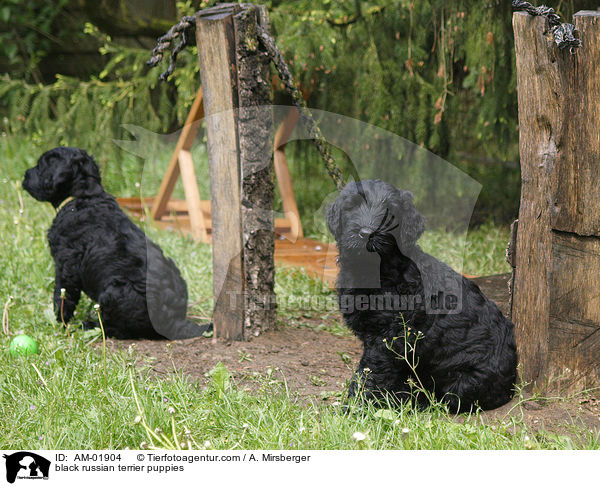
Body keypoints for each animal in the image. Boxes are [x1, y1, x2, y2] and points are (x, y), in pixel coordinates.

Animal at [22, 146, 211, 340]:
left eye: (40, 166)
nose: (25, 175)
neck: (85, 197)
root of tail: (176, 322)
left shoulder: (66, 264)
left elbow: (62, 295)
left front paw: (58, 321)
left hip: (114, 293)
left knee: (117, 329)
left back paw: (89, 325)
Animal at [326, 180, 516, 412]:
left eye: (390, 213)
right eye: (352, 205)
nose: (366, 233)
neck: (375, 268)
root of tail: (512, 383)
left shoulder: (389, 336)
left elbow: (370, 373)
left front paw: (355, 406)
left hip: (464, 378)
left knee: (445, 399)